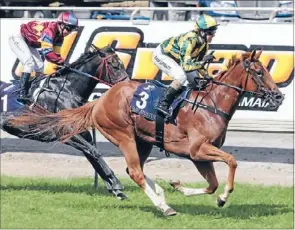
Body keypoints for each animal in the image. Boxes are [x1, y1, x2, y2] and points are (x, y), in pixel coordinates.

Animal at [10, 49, 286, 217]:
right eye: (259, 72)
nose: (279, 96)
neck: (211, 103)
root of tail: (99, 101)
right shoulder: (198, 149)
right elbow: (232, 161)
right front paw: (223, 198)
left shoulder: (198, 156)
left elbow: (212, 184)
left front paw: (181, 187)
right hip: (123, 135)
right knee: (134, 171)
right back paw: (163, 207)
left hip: (144, 141)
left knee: (136, 170)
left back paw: (163, 196)